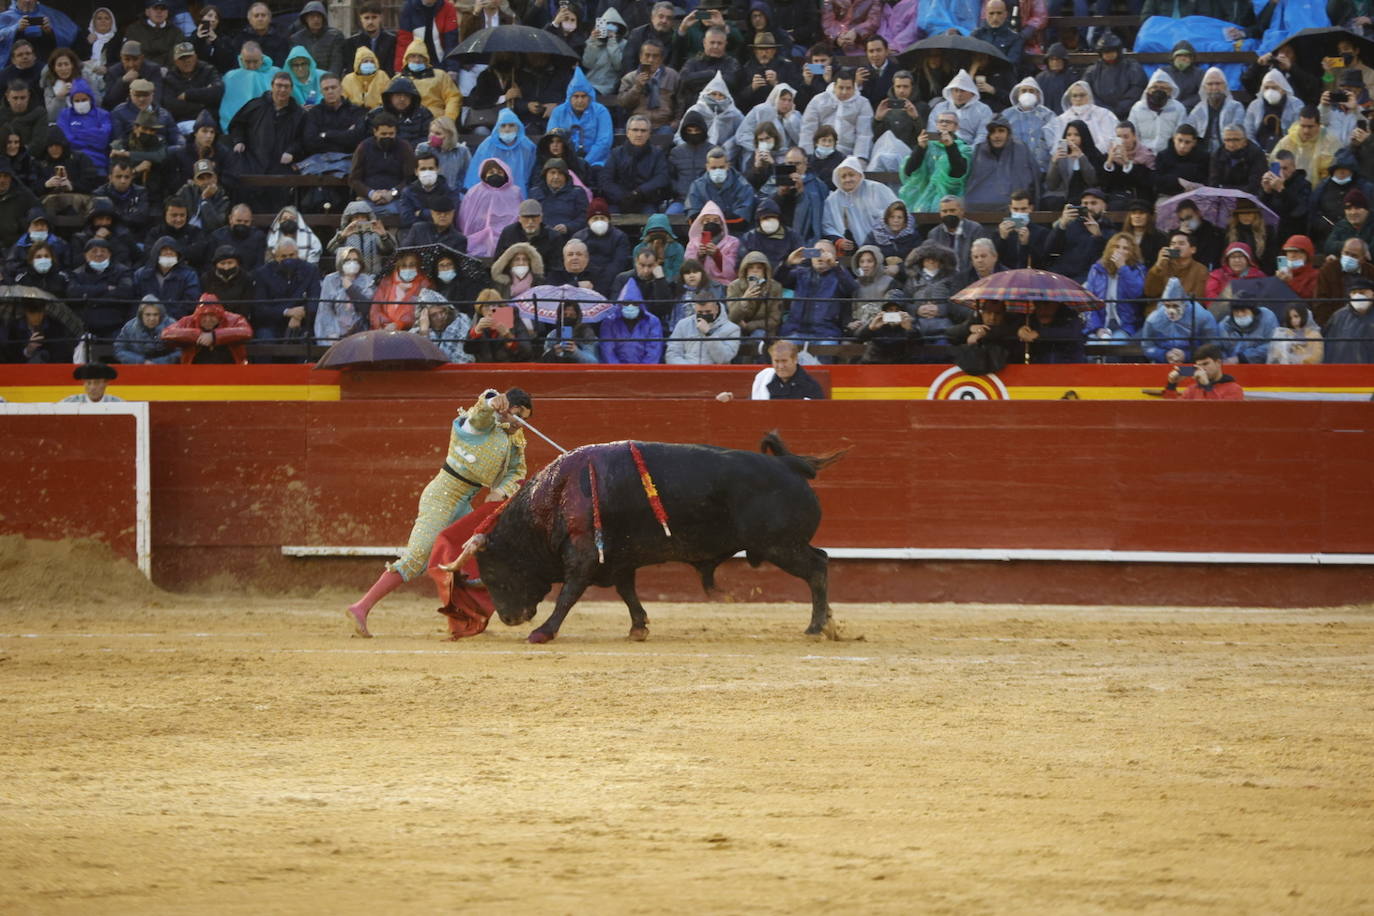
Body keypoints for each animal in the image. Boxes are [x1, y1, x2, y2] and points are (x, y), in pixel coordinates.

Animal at [472, 431, 846, 642]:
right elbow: (627, 592)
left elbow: (568, 595)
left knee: (817, 568)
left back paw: (816, 628)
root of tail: (790, 465)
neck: (556, 496)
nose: (508, 618)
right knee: (820, 562)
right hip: (784, 546)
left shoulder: (584, 557)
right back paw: (827, 621)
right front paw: (639, 628)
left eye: (492, 573)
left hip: (781, 546)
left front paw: (542, 632)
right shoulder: (617, 560)